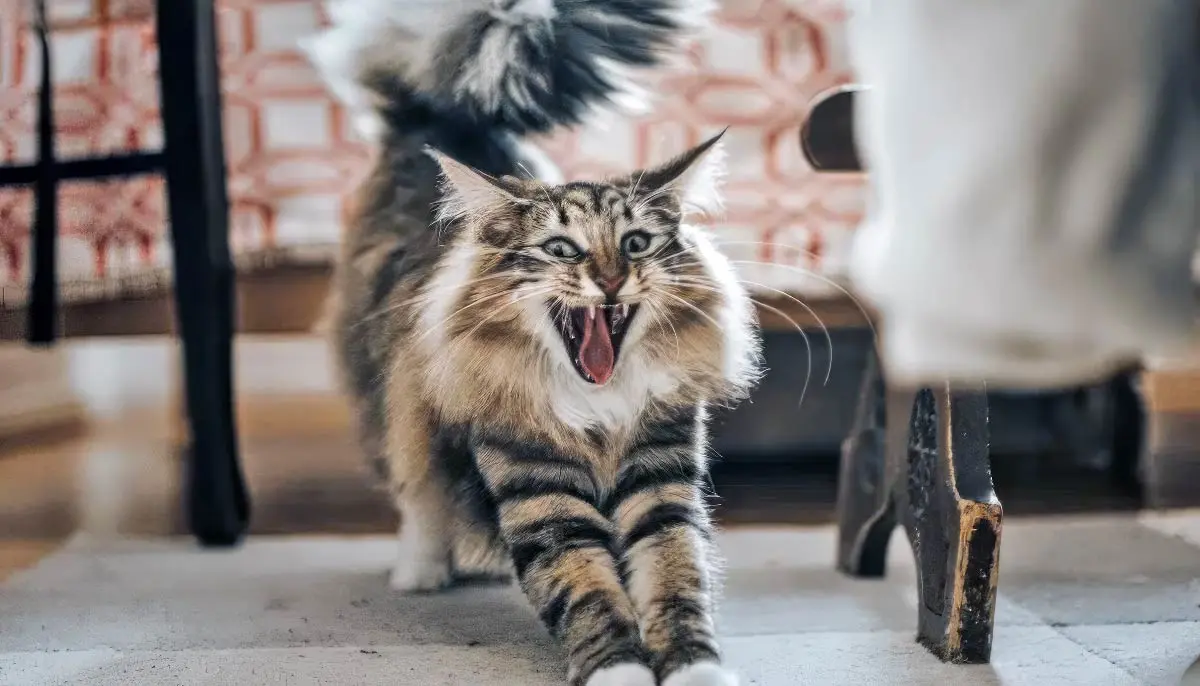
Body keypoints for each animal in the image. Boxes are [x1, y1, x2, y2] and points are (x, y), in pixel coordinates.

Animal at [307, 1, 758, 686]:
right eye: (562, 250)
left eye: (635, 244)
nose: (610, 280)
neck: (598, 407)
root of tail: (447, 116)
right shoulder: (542, 495)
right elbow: (589, 593)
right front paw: (619, 671)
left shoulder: (661, 483)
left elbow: (676, 585)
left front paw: (694, 669)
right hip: (395, 387)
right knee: (416, 486)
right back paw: (420, 573)